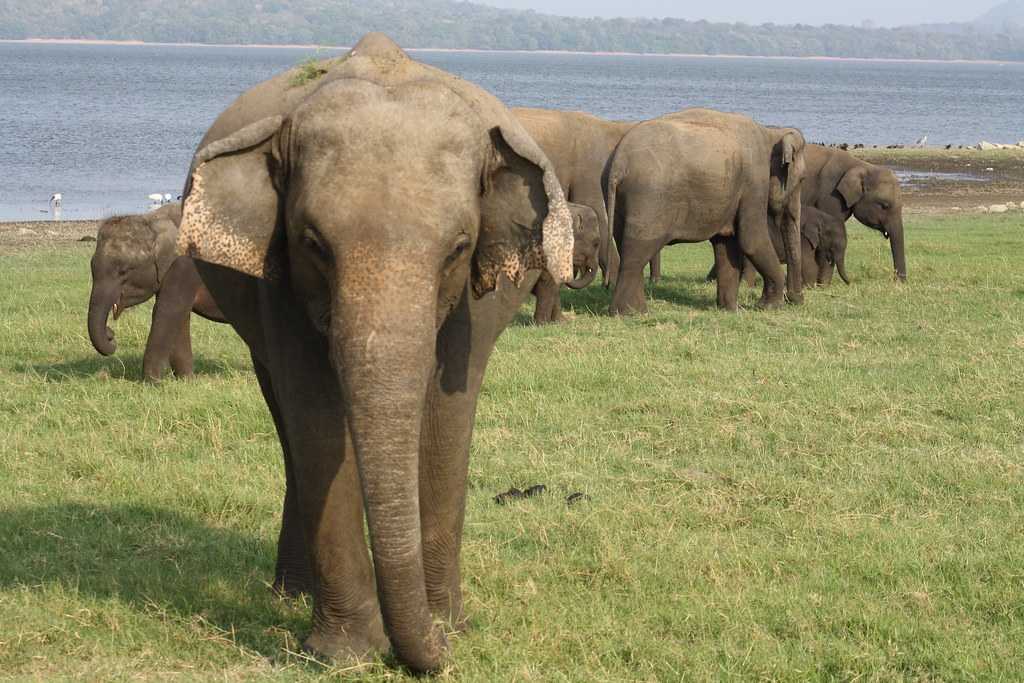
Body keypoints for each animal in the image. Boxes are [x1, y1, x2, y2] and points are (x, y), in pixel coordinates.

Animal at [87, 202, 224, 385]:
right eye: (91, 266)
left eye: (123, 271)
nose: (111, 334)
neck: (154, 220)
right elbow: (180, 316)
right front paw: (187, 380)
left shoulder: (186, 265)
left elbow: (168, 309)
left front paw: (152, 383)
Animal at [176, 33, 577, 671]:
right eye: (313, 243)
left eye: (458, 246)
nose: (437, 648)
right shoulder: (278, 288)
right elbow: (316, 415)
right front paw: (345, 656)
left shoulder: (474, 303)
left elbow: (446, 415)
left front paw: (447, 627)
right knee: (285, 424)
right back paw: (291, 594)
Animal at [602, 109, 802, 315]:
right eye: (801, 180)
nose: (796, 300)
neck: (771, 131)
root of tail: (618, 164)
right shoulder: (754, 180)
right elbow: (751, 240)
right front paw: (769, 306)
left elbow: (726, 243)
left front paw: (730, 310)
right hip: (648, 198)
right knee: (638, 250)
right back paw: (630, 313)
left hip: (622, 200)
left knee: (625, 244)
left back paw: (634, 310)